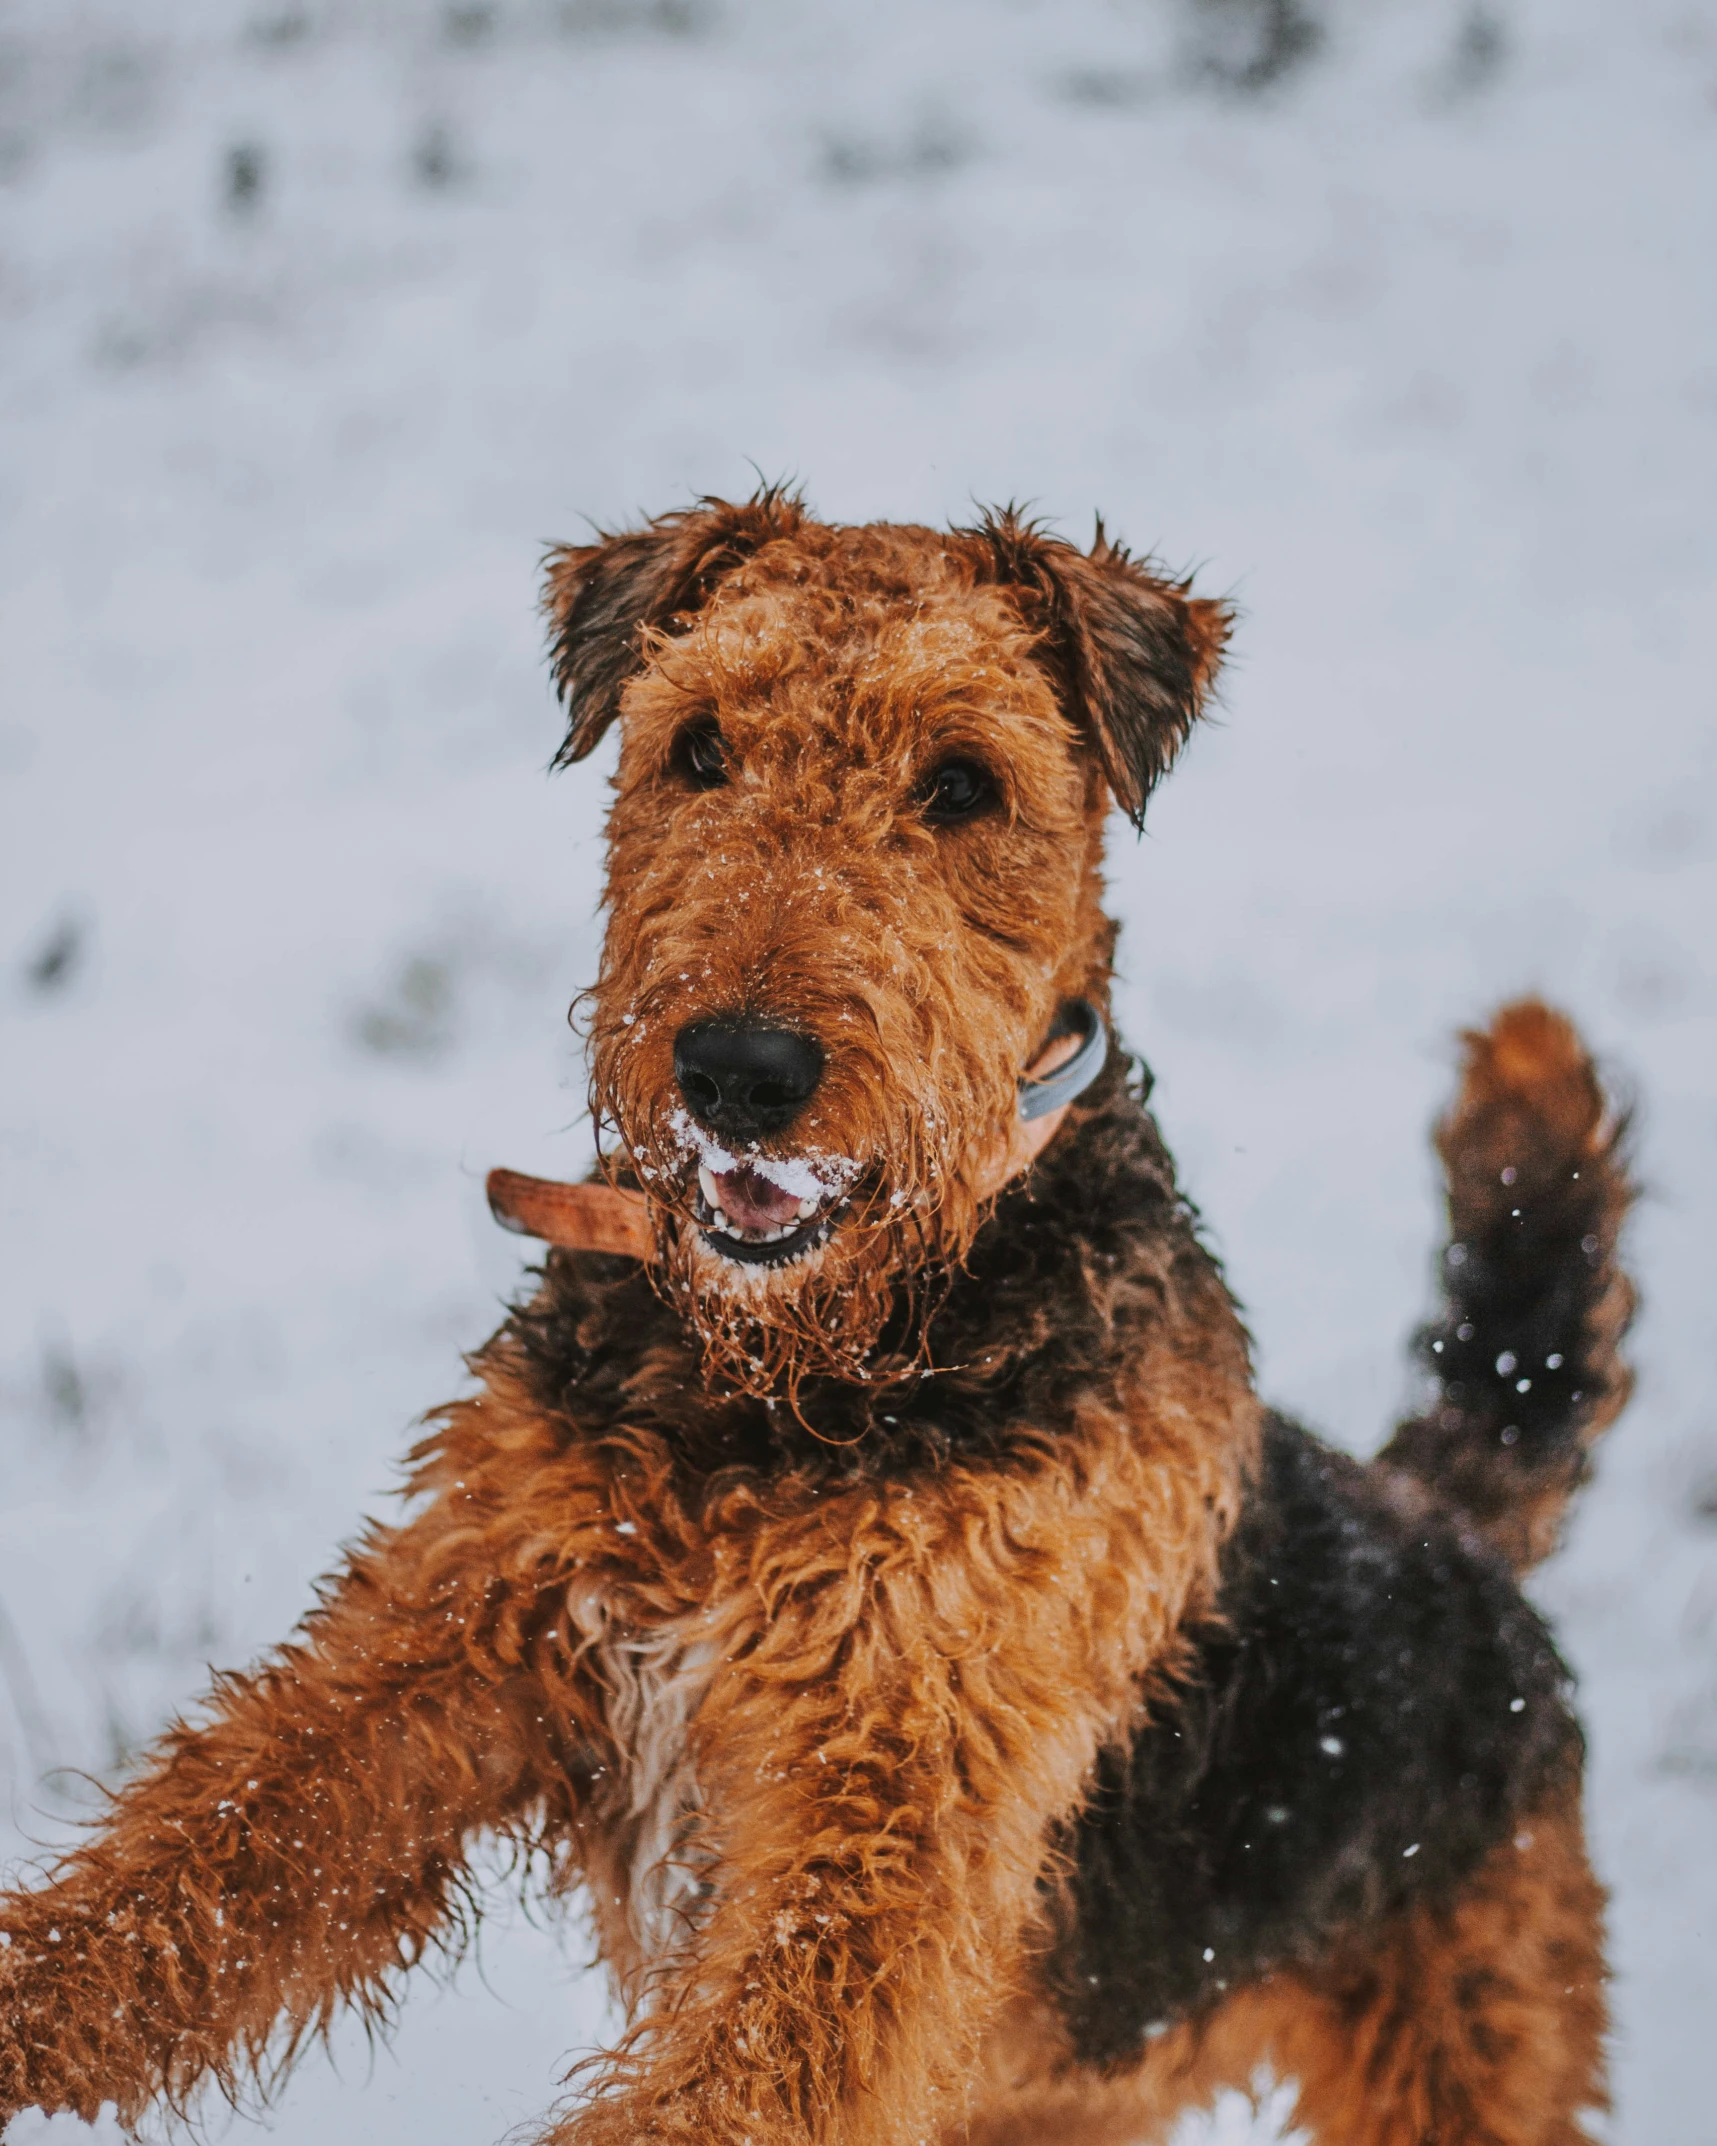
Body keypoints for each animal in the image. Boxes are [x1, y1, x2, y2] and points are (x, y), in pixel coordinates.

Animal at [3, 493, 1639, 2137]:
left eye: (963, 781)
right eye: (698, 746)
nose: (739, 1070)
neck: (785, 1392)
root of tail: (1448, 1525)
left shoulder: (889, 1804)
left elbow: (739, 2073)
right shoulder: (455, 1633)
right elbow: (188, 1871)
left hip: (1459, 2039)